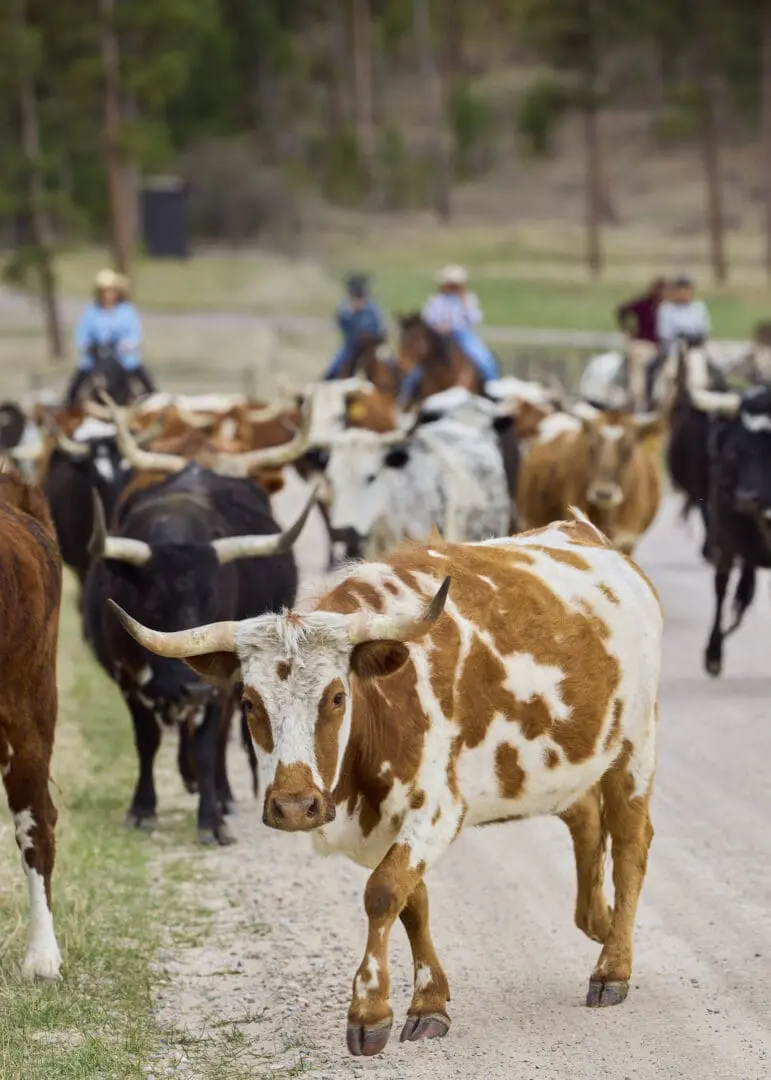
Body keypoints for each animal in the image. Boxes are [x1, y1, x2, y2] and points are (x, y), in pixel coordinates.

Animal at [109, 509, 663, 1057]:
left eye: (336, 696)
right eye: (248, 702)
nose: (294, 806)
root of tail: (588, 534)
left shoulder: (437, 810)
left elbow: (383, 892)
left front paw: (370, 1010)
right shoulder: (382, 825)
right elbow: (412, 902)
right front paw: (430, 1001)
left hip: (636, 747)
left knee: (630, 842)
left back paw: (613, 966)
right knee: (585, 817)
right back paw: (598, 922)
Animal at [687, 386, 771, 677]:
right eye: (736, 451)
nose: (746, 498)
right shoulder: (725, 540)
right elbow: (724, 589)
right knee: (725, 589)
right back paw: (714, 652)